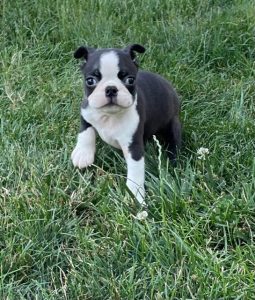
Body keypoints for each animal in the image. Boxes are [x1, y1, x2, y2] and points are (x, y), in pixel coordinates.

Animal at [70, 44, 180, 206]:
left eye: (130, 79)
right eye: (90, 81)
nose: (111, 89)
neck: (109, 116)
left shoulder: (133, 145)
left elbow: (135, 172)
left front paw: (135, 196)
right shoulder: (86, 109)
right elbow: (85, 130)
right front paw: (83, 154)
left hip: (173, 123)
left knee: (174, 143)